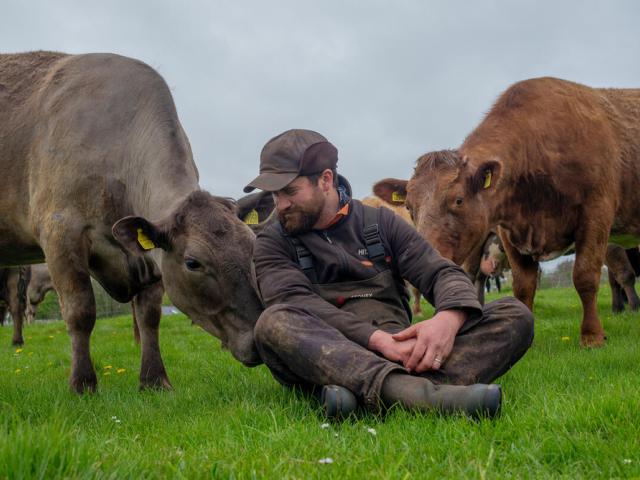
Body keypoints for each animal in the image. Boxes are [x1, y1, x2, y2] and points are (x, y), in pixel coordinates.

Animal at [0, 51, 263, 393]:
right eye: (193, 263)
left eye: (253, 248)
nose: (258, 340)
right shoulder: (59, 231)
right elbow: (80, 311)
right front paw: (82, 384)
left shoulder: (149, 256)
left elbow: (149, 315)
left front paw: (154, 380)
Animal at [375, 77, 640, 347]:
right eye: (409, 206)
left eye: (458, 200)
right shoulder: (509, 231)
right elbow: (523, 286)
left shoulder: (596, 215)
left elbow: (585, 277)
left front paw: (592, 336)